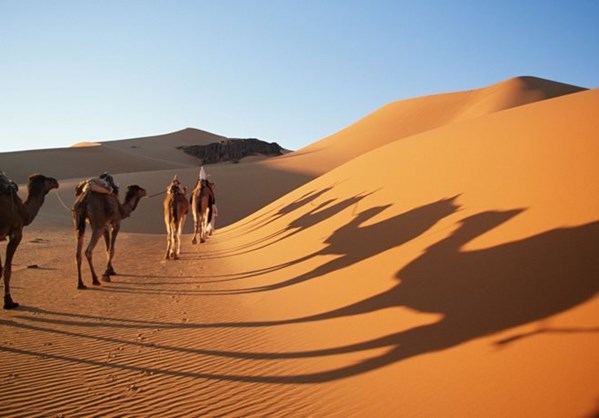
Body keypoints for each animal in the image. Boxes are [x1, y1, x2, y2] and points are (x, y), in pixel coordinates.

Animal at [0, 175, 59, 308]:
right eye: (47, 179)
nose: (56, 181)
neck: (23, 211)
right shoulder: (16, 232)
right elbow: (7, 270)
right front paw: (9, 301)